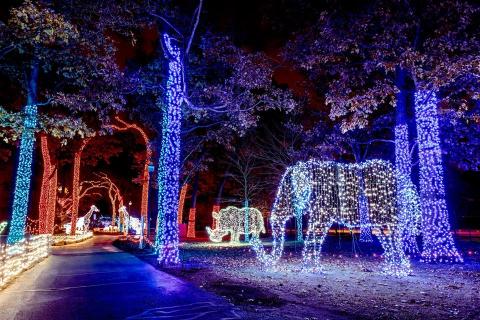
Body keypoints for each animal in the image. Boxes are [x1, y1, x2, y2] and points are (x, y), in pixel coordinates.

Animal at [251, 159, 412, 276]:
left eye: (286, 194)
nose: (254, 237)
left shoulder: (323, 203)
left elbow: (318, 230)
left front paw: (311, 269)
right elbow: (314, 231)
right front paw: (310, 268)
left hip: (386, 205)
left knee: (392, 234)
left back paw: (400, 271)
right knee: (386, 235)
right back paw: (391, 270)